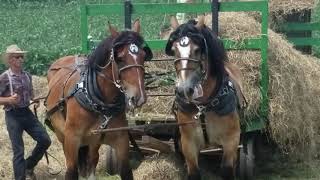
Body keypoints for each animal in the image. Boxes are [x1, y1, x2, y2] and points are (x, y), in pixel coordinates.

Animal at [44, 19, 152, 179]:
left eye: (144, 56)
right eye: (120, 58)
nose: (139, 97)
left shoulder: (121, 140)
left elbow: (125, 170)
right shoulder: (72, 140)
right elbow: (71, 171)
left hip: (94, 141)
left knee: (92, 160)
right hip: (62, 135)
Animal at [166, 16, 246, 179]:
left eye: (197, 50)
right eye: (174, 50)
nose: (184, 90)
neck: (203, 106)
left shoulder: (231, 140)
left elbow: (227, 170)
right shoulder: (188, 143)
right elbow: (194, 172)